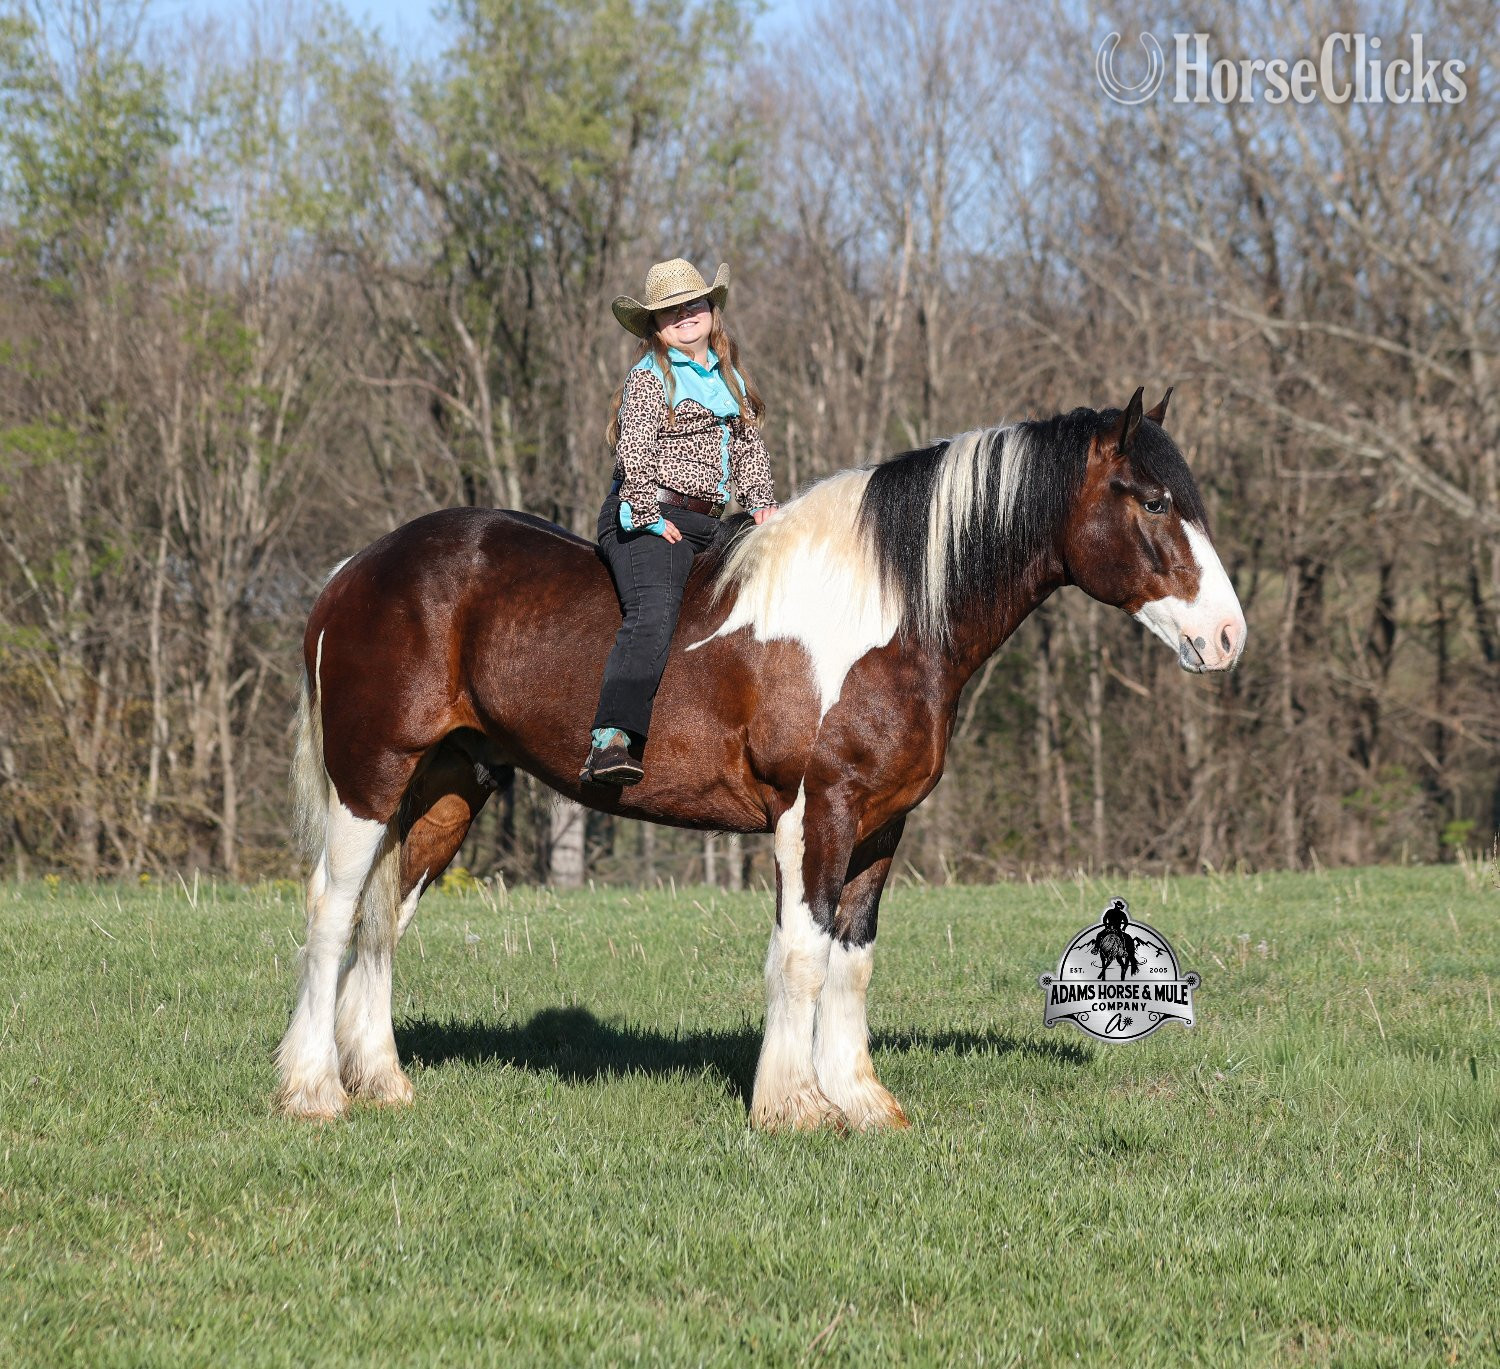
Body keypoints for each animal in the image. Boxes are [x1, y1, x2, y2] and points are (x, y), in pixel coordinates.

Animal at [275, 387, 1245, 1130]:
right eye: (1152, 501)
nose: (1228, 637)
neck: (881, 614)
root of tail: (354, 569)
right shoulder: (814, 813)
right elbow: (802, 954)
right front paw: (794, 1106)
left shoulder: (880, 825)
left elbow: (850, 958)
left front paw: (860, 1101)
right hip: (371, 780)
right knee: (332, 910)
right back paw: (313, 1090)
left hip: (449, 787)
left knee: (384, 918)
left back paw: (383, 1082)